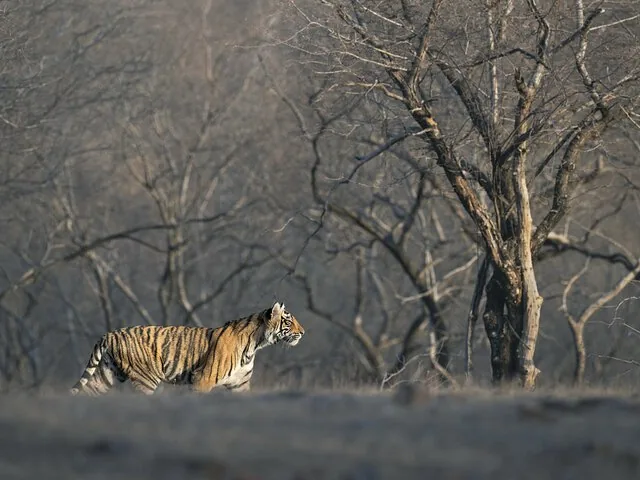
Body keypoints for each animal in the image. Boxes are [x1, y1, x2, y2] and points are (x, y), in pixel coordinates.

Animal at [70, 301, 304, 396]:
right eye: (288, 321)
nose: (303, 332)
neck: (255, 344)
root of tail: (111, 333)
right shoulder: (203, 379)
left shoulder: (240, 384)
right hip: (146, 378)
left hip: (107, 373)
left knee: (89, 390)